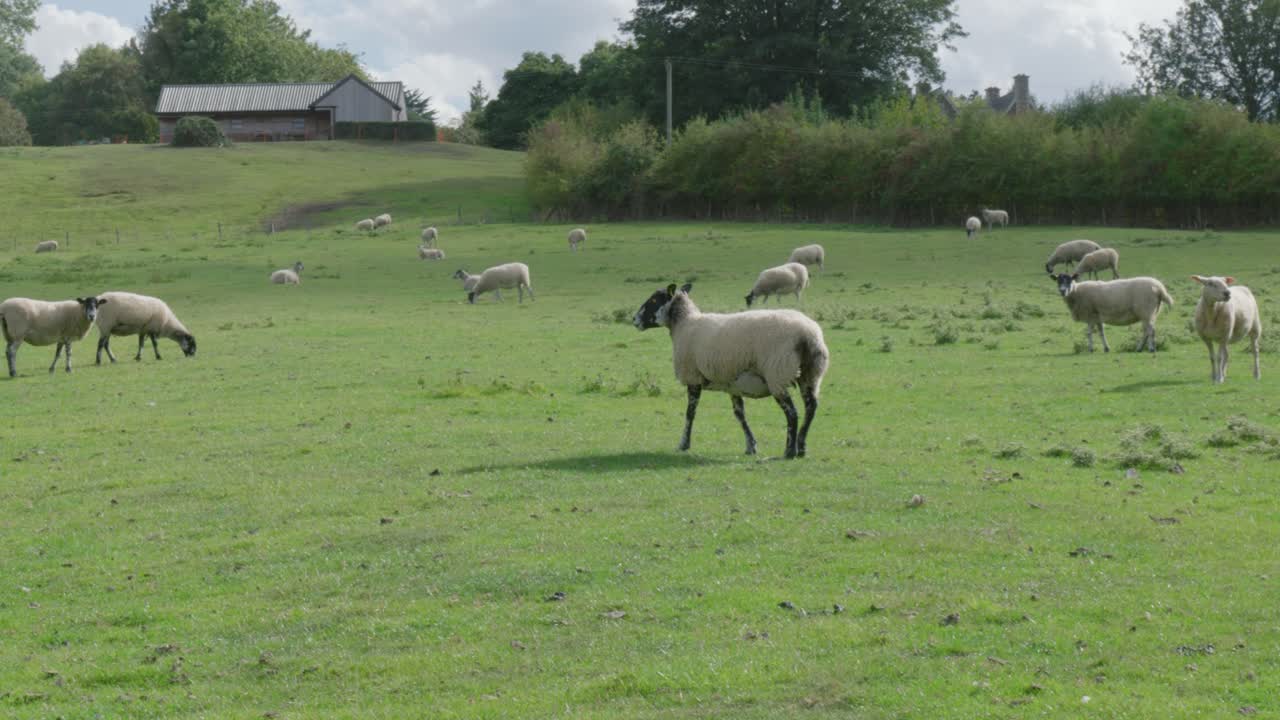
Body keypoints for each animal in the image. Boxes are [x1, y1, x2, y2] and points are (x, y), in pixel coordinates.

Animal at [632, 283, 829, 459]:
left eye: (654, 299)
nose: (634, 320)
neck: (684, 324)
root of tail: (808, 335)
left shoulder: (693, 377)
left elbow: (690, 413)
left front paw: (683, 444)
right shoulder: (732, 383)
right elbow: (739, 414)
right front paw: (751, 445)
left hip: (778, 374)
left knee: (792, 413)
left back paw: (789, 452)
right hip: (811, 374)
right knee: (811, 408)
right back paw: (801, 448)